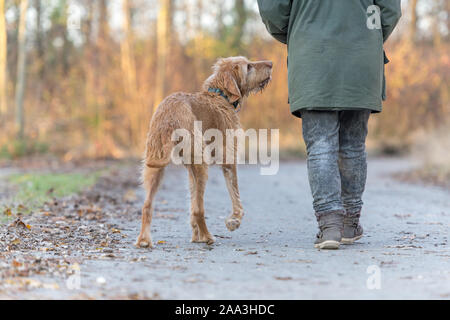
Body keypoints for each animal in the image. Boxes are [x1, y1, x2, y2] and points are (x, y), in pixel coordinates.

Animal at [135, 57, 272, 248]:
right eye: (249, 66)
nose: (271, 63)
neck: (220, 96)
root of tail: (169, 118)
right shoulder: (228, 159)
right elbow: (236, 196)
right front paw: (233, 221)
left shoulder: (190, 169)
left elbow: (192, 201)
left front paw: (195, 236)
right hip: (201, 165)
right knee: (200, 209)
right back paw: (208, 237)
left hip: (155, 166)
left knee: (147, 205)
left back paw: (144, 239)